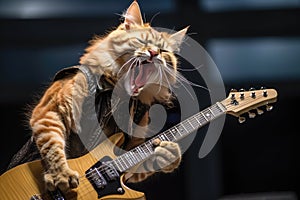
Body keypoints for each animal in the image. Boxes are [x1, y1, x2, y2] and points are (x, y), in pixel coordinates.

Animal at [13, 0, 190, 193]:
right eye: (142, 41)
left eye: (163, 50)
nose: (154, 53)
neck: (118, 95)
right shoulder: (51, 111)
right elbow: (52, 146)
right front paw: (61, 175)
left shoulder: (133, 144)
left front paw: (169, 154)